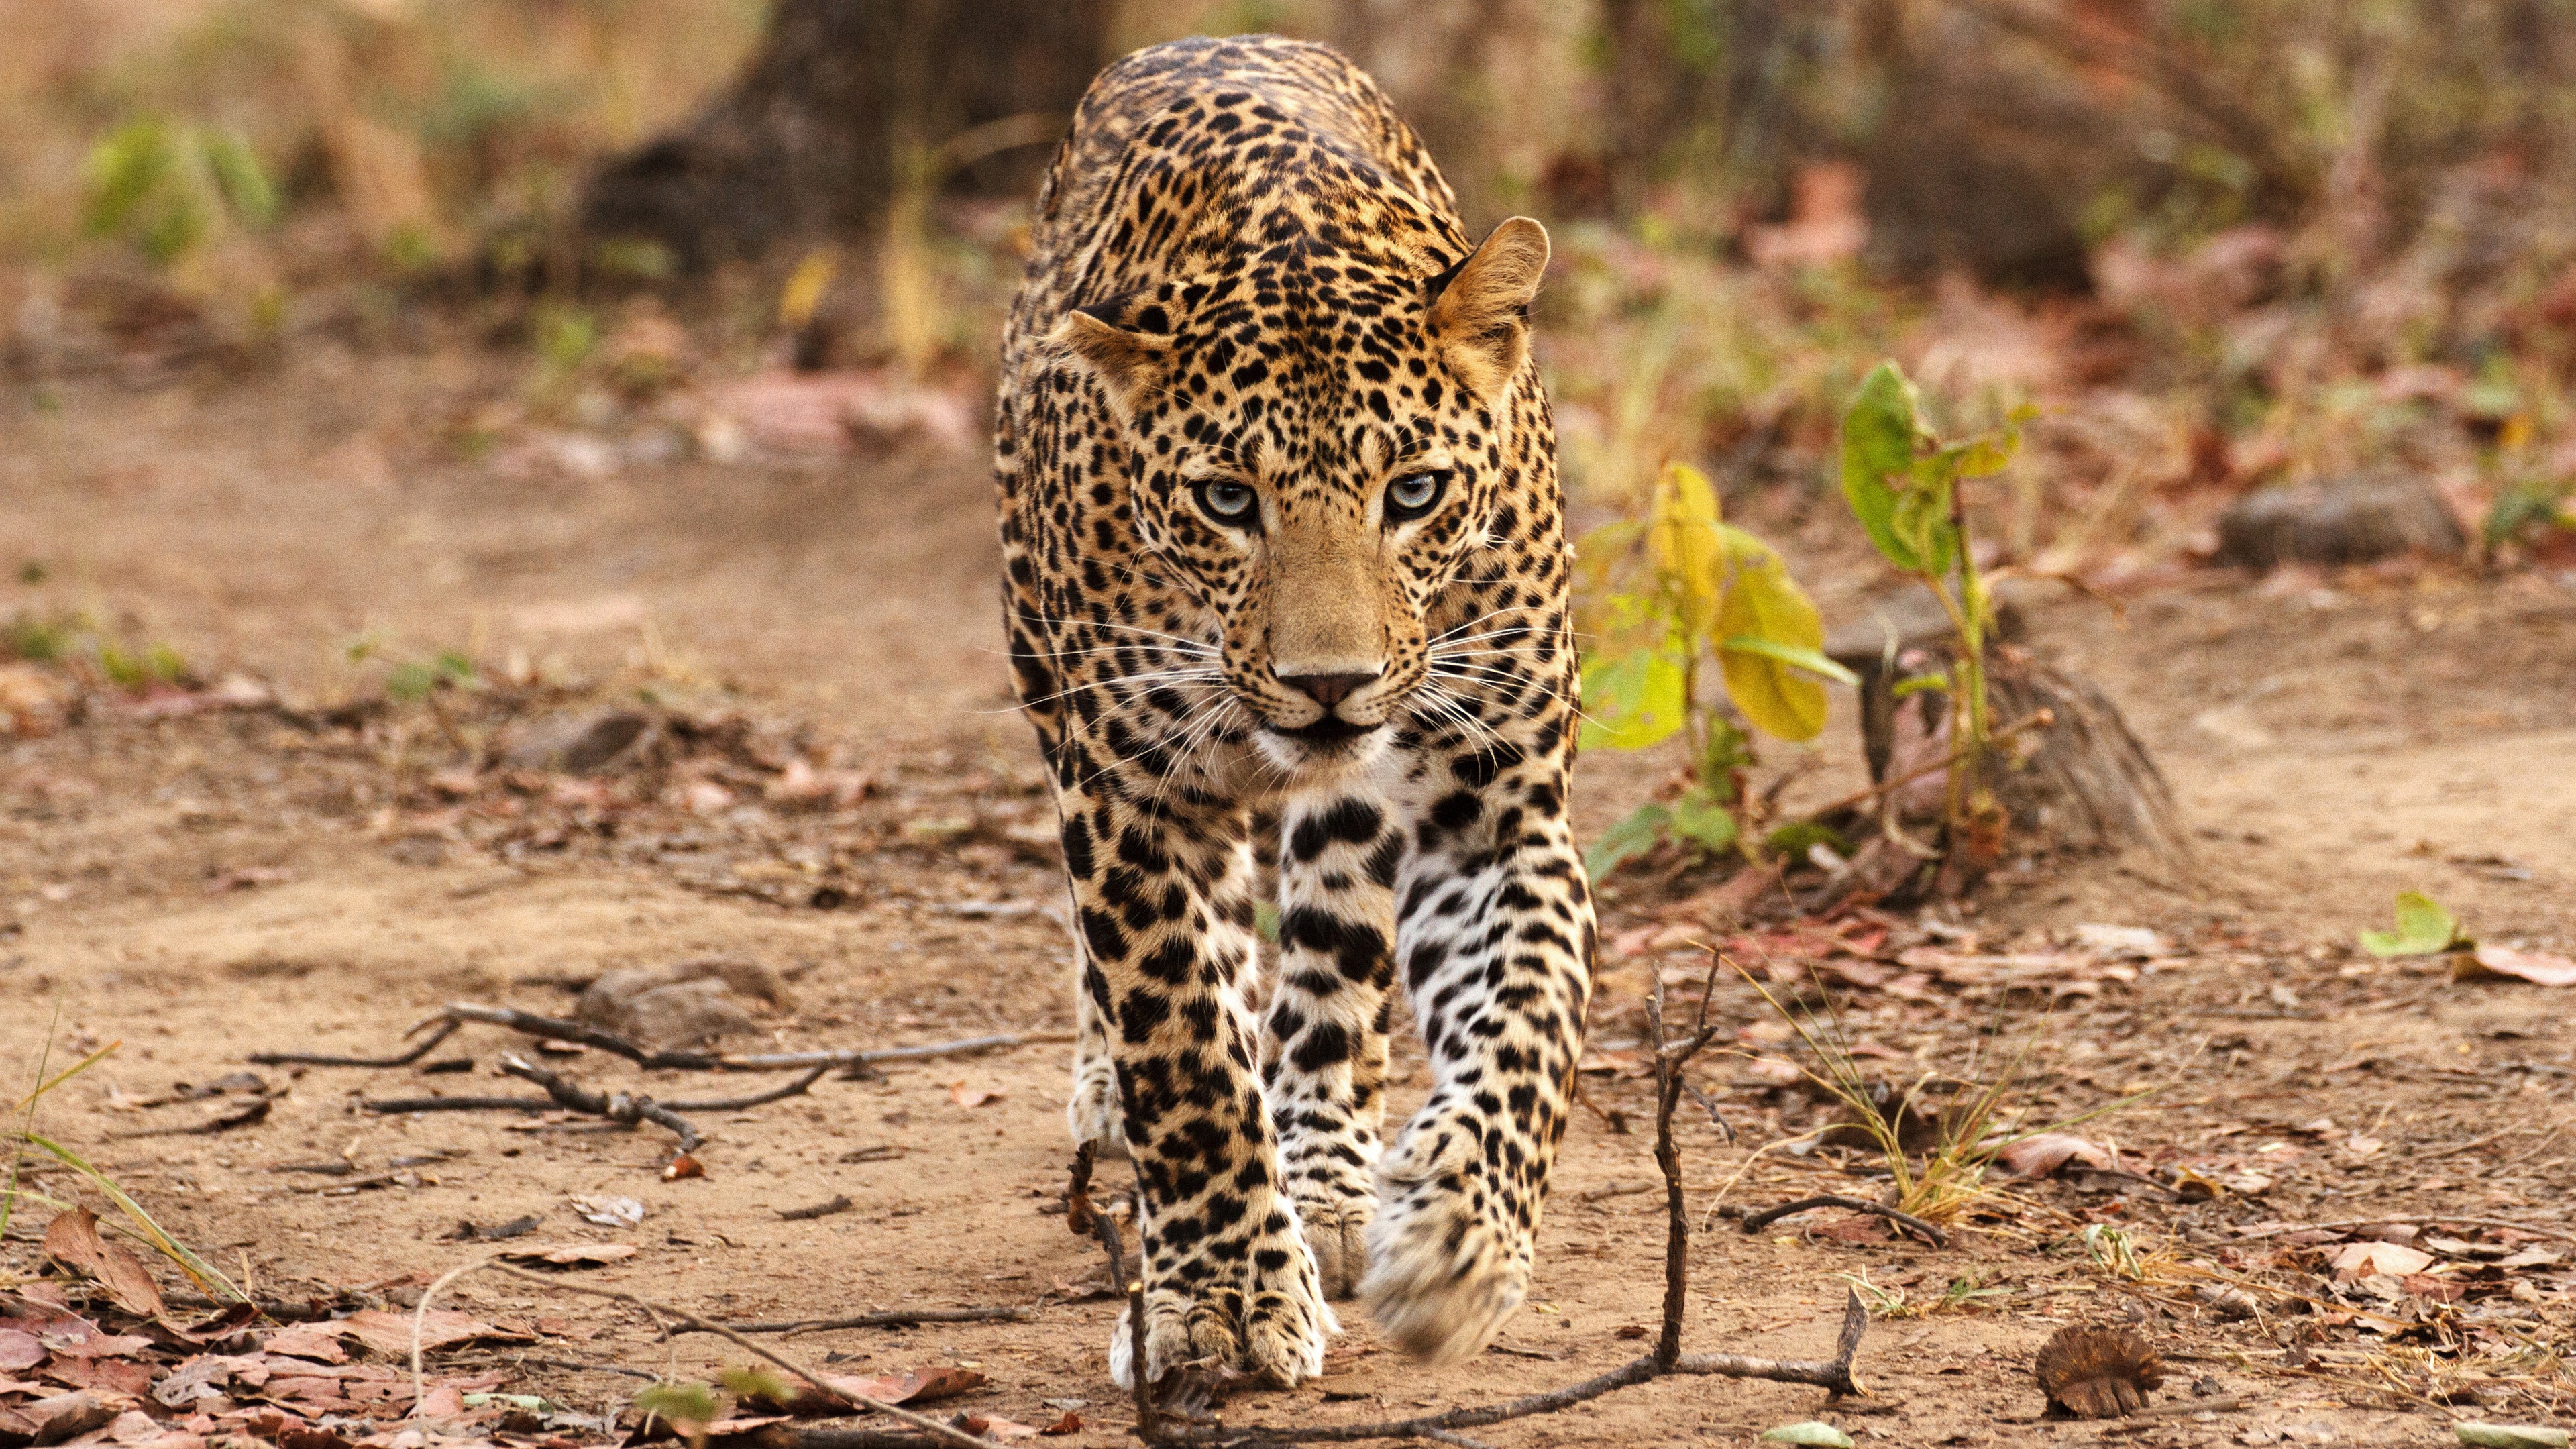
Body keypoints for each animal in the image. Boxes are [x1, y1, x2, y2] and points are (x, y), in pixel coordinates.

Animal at [983, 36, 1587, 1392]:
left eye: (1413, 491)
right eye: (1225, 500)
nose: (1329, 683)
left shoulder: (1502, 811)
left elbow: (1530, 1022)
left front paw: (1459, 1242)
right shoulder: (1130, 794)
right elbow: (1186, 1050)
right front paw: (1223, 1297)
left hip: (1356, 818)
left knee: (1331, 976)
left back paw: (1332, 1182)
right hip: (1049, 678)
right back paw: (1125, 1104)